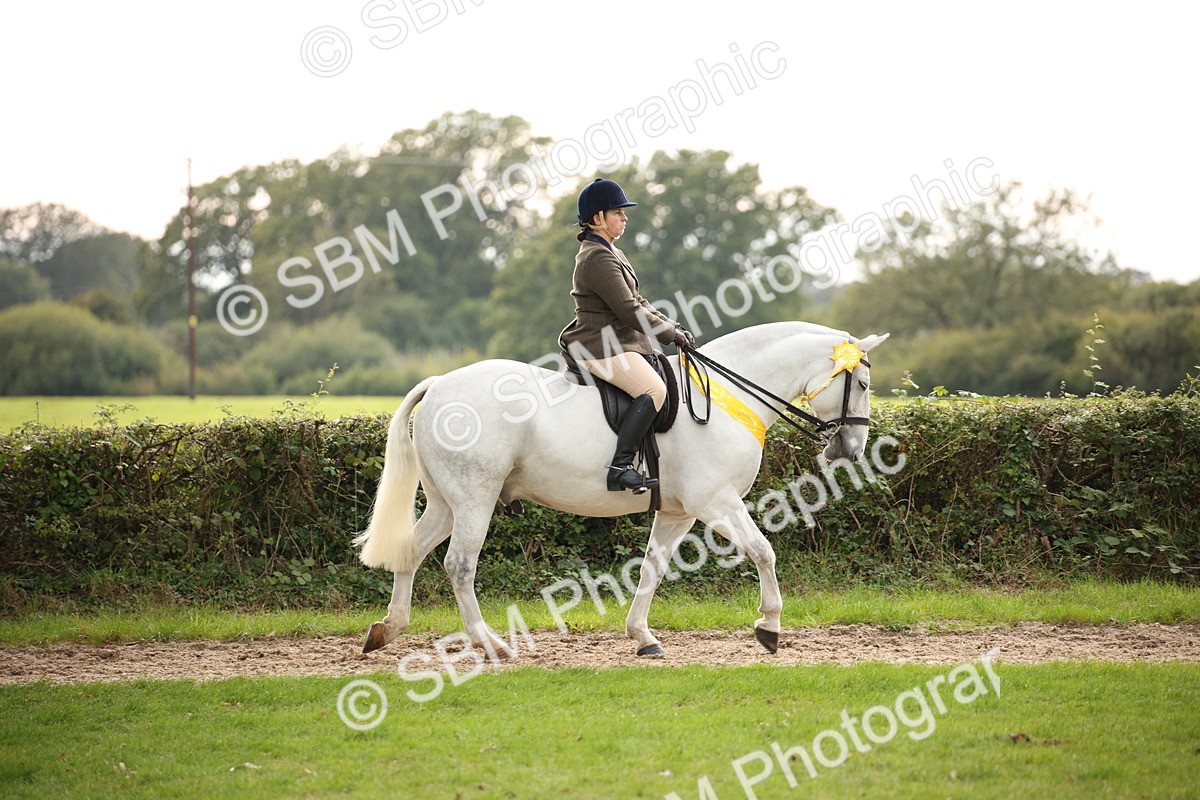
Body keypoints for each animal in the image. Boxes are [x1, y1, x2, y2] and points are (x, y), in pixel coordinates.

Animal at [354, 321, 889, 658]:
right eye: (863, 383)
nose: (852, 448)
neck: (729, 397)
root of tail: (440, 384)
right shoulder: (716, 502)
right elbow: (763, 552)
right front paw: (770, 628)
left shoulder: (679, 512)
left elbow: (653, 567)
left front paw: (642, 636)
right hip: (474, 499)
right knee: (459, 566)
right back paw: (491, 645)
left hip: (447, 503)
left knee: (412, 551)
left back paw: (387, 629)